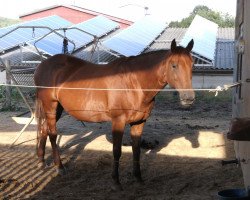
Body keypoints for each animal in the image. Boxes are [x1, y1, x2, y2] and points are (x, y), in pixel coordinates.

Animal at [34, 38, 194, 189]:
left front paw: (138, 178)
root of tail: (42, 65)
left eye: (192, 65)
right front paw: (116, 182)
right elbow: (117, 151)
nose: (189, 98)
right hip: (50, 106)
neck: (134, 84)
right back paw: (59, 167)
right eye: (174, 65)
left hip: (57, 109)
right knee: (52, 134)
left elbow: (136, 150)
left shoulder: (139, 123)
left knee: (44, 129)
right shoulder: (118, 122)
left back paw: (41, 161)